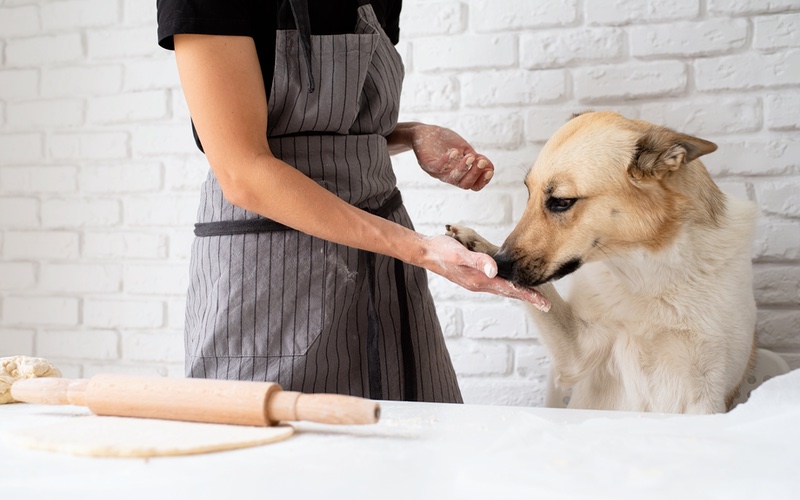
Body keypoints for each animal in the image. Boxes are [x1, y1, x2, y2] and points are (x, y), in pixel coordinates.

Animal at [450, 111, 756, 412]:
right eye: (528, 194)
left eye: (561, 201)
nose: (501, 265)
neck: (645, 272)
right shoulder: (577, 354)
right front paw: (478, 243)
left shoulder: (706, 396)